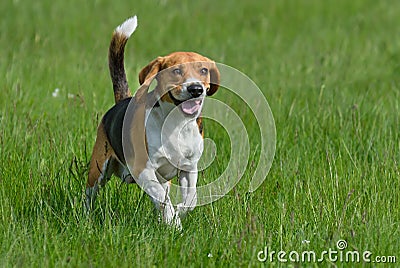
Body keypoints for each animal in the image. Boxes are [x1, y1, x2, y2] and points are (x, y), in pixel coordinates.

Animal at [85, 15, 220, 228]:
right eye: (176, 71)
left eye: (204, 70)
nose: (196, 89)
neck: (177, 123)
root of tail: (123, 101)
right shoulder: (144, 170)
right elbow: (165, 202)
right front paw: (174, 223)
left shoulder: (189, 168)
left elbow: (191, 199)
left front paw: (178, 213)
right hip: (98, 169)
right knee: (89, 196)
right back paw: (85, 217)